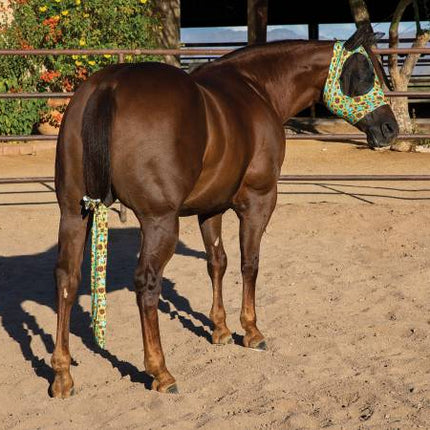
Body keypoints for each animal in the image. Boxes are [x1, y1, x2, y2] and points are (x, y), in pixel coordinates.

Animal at [51, 28, 400, 396]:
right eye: (364, 75)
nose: (390, 128)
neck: (257, 88)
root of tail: (110, 86)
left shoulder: (211, 208)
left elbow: (216, 263)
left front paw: (219, 329)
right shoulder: (260, 201)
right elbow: (250, 263)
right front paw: (252, 331)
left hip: (73, 214)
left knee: (66, 278)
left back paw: (62, 374)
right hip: (159, 221)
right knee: (146, 284)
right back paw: (161, 371)